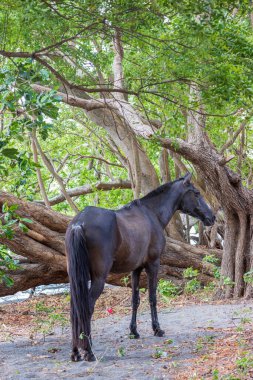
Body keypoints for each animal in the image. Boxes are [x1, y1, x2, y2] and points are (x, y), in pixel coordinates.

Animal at [65, 174, 215, 360]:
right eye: (196, 193)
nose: (212, 217)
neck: (151, 214)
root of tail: (79, 223)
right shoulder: (153, 264)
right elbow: (152, 297)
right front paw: (157, 329)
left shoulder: (135, 269)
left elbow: (135, 300)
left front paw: (133, 331)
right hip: (98, 278)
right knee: (87, 308)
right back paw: (89, 351)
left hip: (76, 279)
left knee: (75, 309)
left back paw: (75, 352)